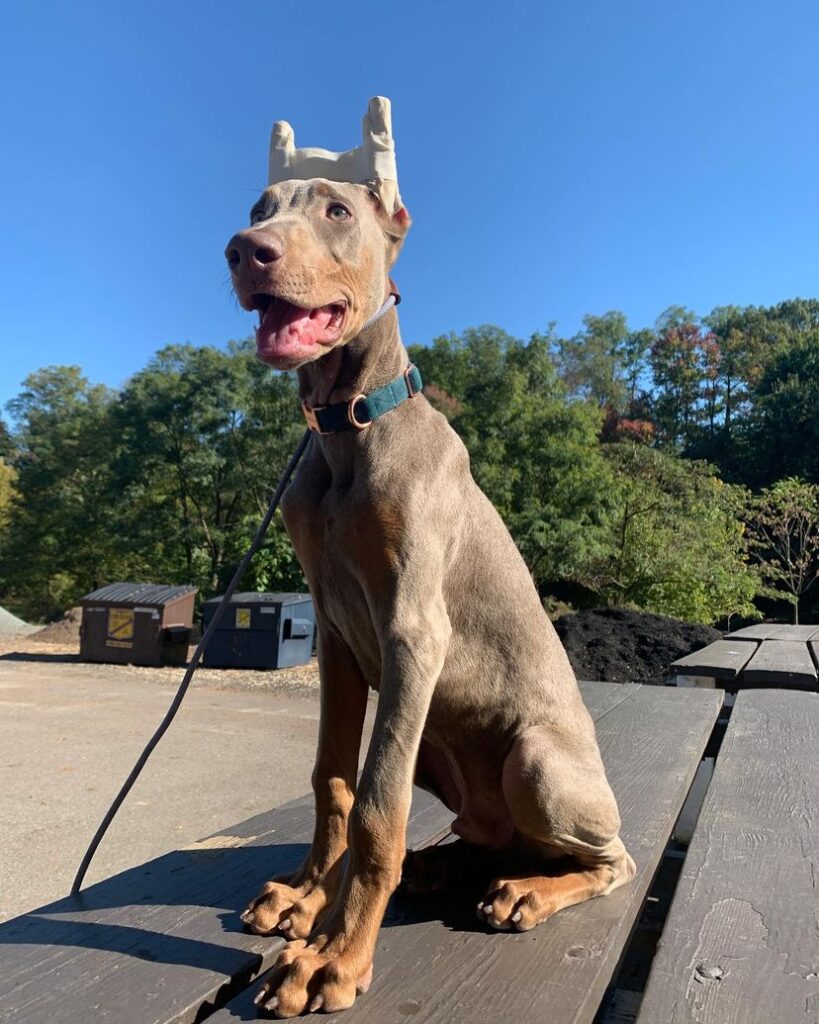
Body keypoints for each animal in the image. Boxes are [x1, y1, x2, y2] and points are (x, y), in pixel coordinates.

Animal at [225, 108, 634, 1018]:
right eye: (260, 207)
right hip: (451, 762)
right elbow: (334, 780)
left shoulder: (413, 632)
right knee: (483, 837)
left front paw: (333, 957)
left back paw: (526, 893)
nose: (243, 249)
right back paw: (448, 866)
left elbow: (378, 807)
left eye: (337, 211)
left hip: (538, 761)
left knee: (610, 859)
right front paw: (306, 895)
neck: (348, 426)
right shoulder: (338, 637)